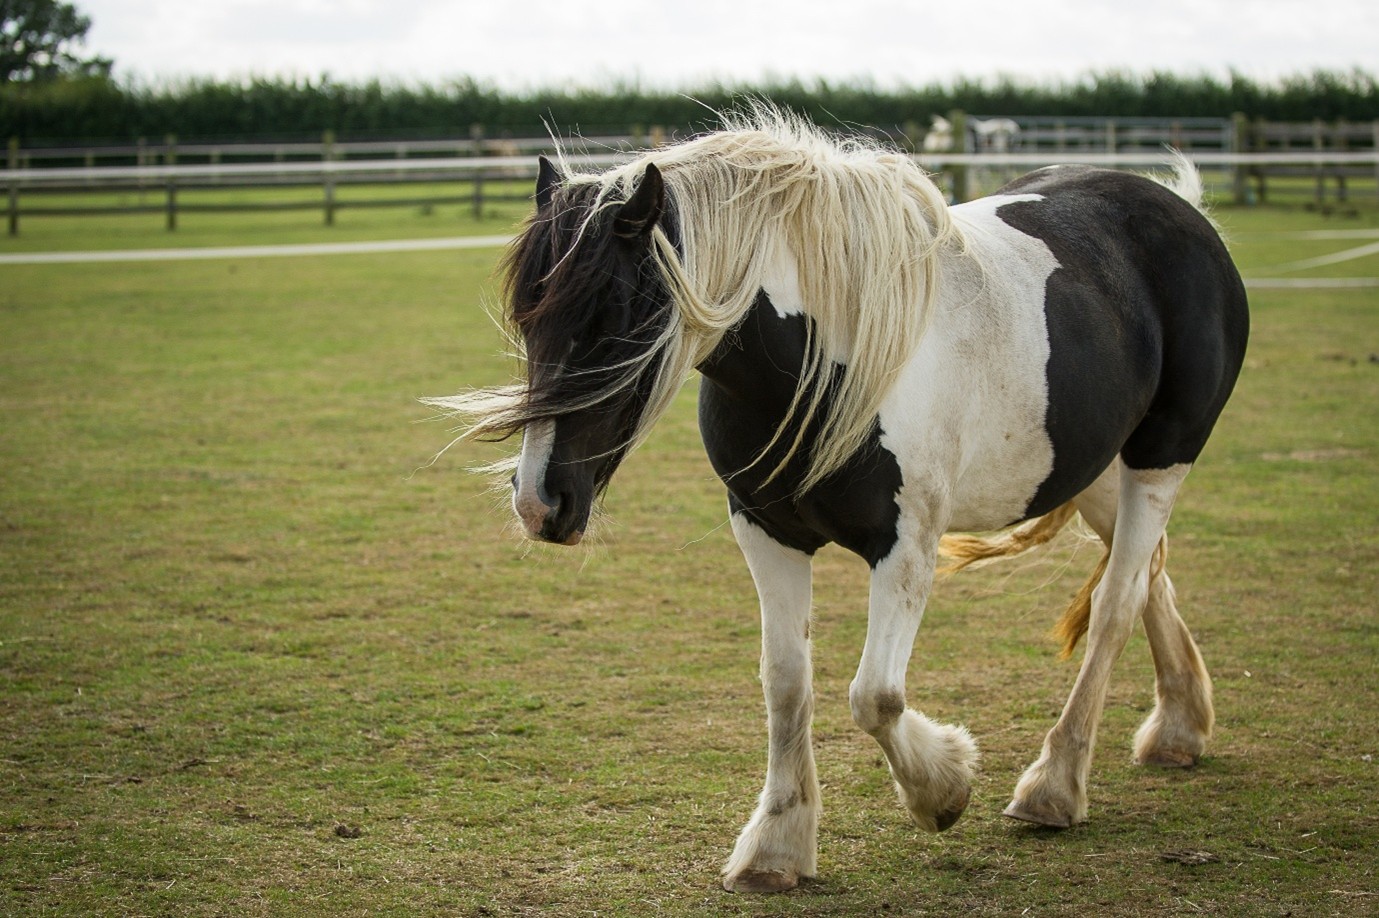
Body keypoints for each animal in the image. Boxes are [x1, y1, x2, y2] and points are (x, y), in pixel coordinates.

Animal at [426, 110, 1249, 893]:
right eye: (528, 318)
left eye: (617, 317)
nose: (540, 502)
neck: (829, 354)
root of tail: (1179, 207)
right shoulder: (765, 530)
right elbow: (786, 683)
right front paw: (777, 846)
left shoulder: (906, 544)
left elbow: (873, 696)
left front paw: (943, 788)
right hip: (1096, 472)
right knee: (1144, 578)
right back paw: (1178, 730)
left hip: (1158, 461)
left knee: (1115, 603)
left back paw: (1053, 787)